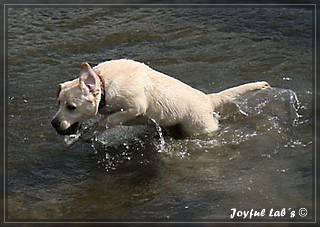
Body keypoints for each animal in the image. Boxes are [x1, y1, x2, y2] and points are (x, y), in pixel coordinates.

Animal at [51, 59, 272, 137]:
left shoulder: (135, 106)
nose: (53, 123)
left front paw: (94, 130)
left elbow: (110, 119)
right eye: (59, 103)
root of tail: (208, 99)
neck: (104, 82)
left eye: (71, 107)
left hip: (199, 127)